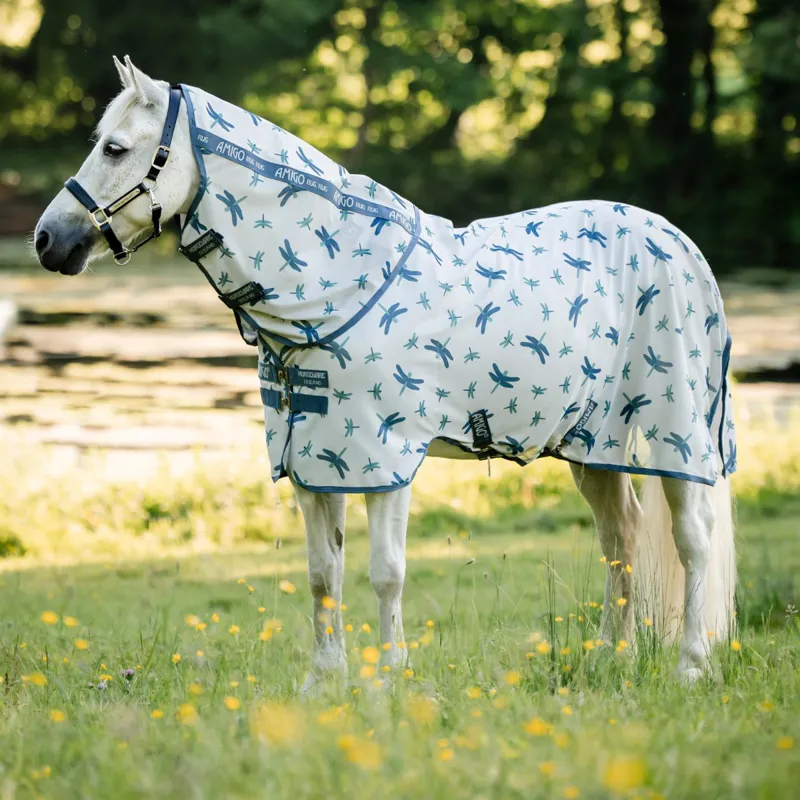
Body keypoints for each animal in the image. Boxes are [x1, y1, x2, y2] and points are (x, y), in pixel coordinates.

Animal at [34, 57, 736, 688]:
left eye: (117, 148)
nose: (47, 241)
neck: (336, 287)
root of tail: (680, 244)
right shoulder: (313, 462)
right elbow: (323, 573)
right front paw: (324, 681)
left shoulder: (386, 456)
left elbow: (386, 571)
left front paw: (391, 678)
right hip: (593, 445)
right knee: (622, 537)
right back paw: (611, 657)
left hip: (675, 435)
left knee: (692, 540)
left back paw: (691, 667)